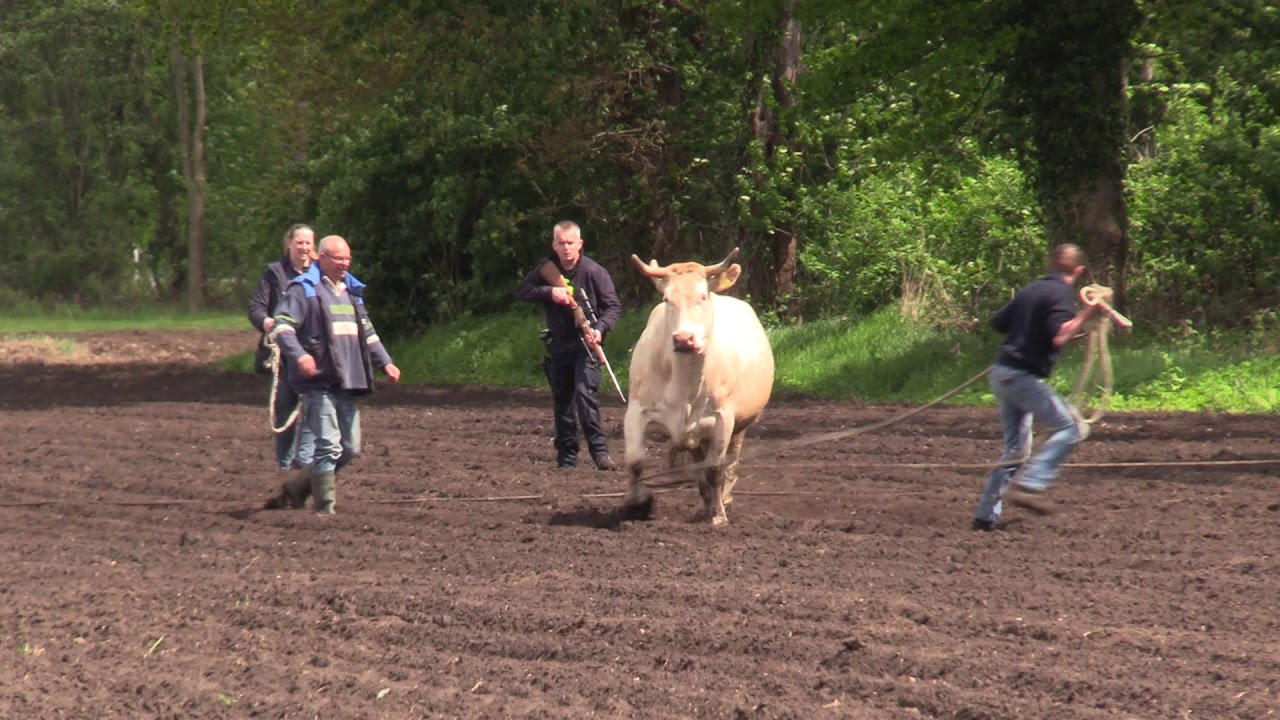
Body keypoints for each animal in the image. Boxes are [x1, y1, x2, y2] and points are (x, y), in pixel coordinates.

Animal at [622, 247, 775, 525]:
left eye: (702, 296)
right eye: (667, 298)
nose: (684, 338)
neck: (685, 384)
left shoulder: (723, 418)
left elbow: (715, 468)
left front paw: (717, 515)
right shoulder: (637, 411)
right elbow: (635, 460)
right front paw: (637, 504)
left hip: (740, 425)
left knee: (730, 461)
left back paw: (721, 498)